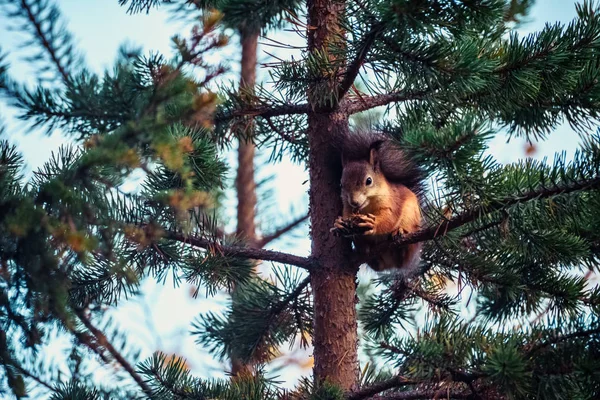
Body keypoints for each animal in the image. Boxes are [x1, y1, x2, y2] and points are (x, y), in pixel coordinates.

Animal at [330, 131, 424, 272]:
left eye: (369, 181)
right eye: (341, 184)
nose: (354, 202)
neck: (367, 206)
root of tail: (390, 264)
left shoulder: (392, 203)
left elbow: (390, 218)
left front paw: (373, 224)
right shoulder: (347, 208)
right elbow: (346, 215)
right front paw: (339, 224)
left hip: (411, 222)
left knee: (404, 254)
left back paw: (400, 233)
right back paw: (365, 249)